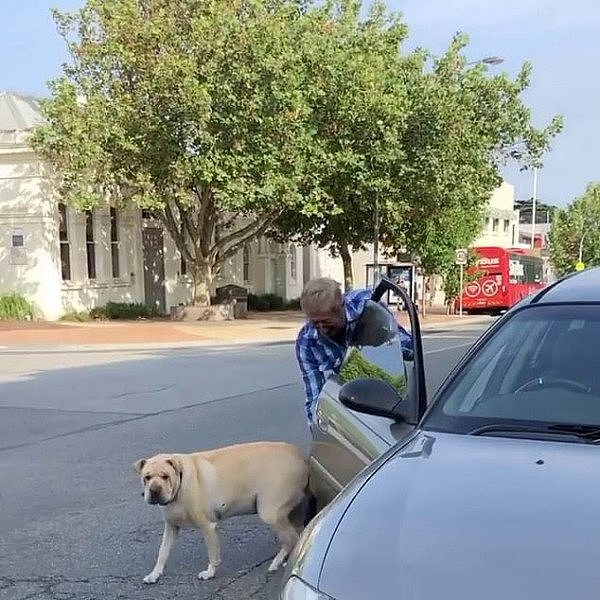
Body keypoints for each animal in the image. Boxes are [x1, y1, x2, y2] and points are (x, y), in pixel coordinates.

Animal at [134, 438, 312, 584]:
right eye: (147, 477)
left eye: (165, 476)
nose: (154, 491)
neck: (180, 485)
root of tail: (301, 456)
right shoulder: (171, 527)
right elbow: (162, 553)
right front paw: (154, 574)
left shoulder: (208, 527)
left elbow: (213, 555)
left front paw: (210, 573)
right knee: (295, 534)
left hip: (270, 511)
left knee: (293, 538)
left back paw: (281, 560)